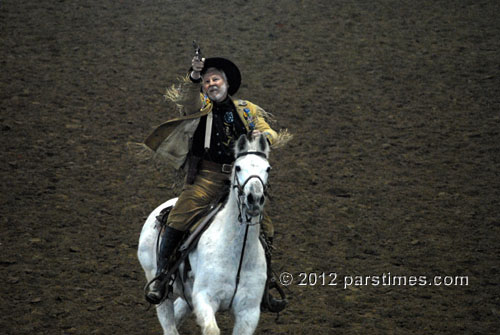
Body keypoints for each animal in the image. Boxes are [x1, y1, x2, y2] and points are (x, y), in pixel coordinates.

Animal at [139, 135, 272, 335]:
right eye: (238, 167)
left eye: (268, 168)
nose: (254, 199)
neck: (237, 255)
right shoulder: (204, 298)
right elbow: (211, 330)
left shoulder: (249, 312)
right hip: (159, 287)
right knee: (168, 323)